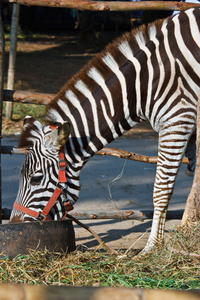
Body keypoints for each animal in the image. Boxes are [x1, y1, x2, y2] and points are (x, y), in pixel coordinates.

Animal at [9, 7, 200, 253]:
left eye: (35, 178)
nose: (14, 226)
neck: (143, 84)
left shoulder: (177, 119)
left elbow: (161, 189)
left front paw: (152, 248)